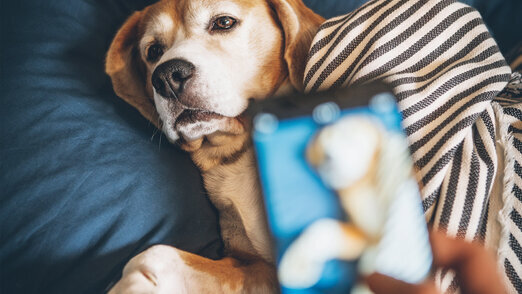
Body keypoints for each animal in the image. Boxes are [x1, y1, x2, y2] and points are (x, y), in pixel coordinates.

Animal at [104, 0, 320, 292]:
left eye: (224, 22)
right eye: (154, 51)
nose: (166, 76)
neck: (239, 150)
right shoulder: (257, 269)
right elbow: (157, 256)